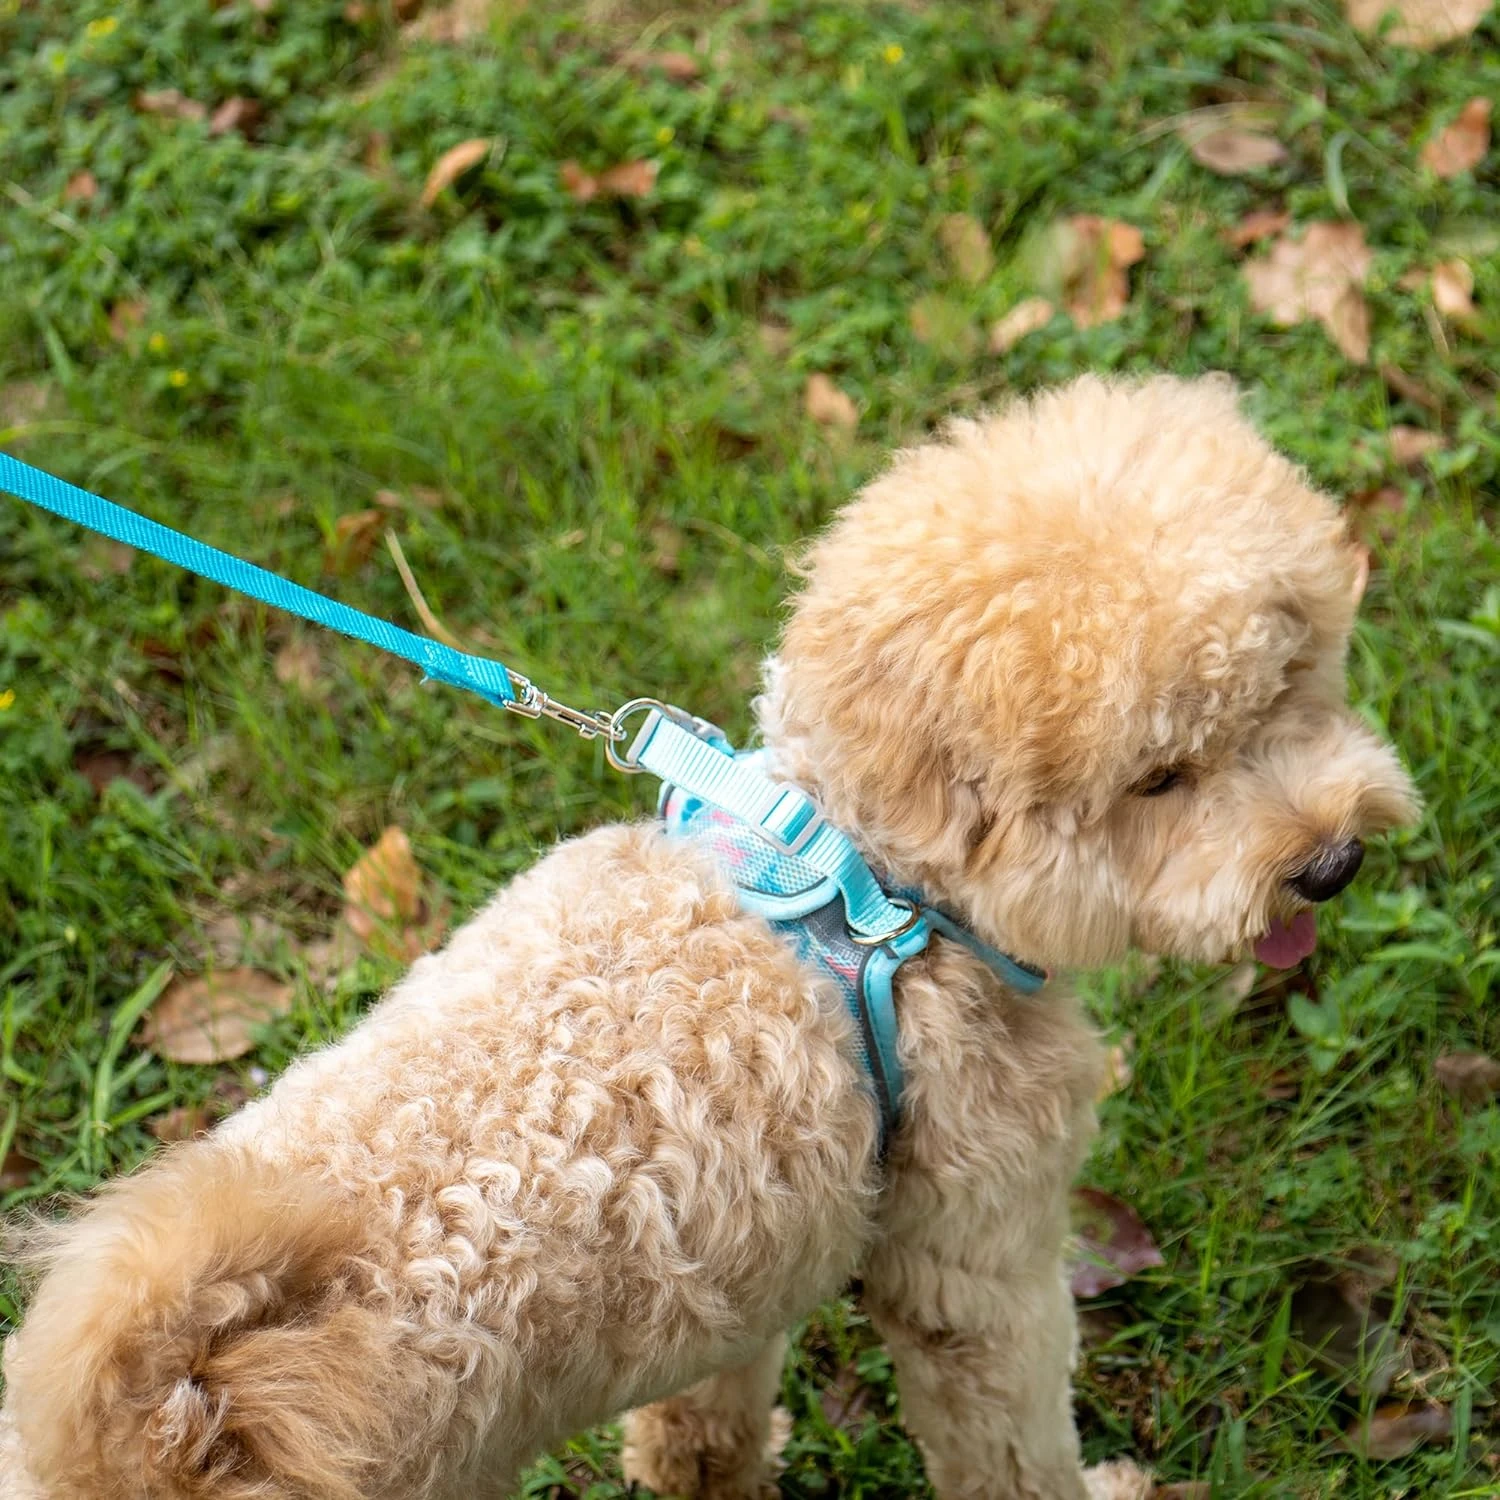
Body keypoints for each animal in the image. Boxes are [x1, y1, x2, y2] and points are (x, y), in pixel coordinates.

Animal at [0, 375, 1410, 1500]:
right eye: (1160, 779)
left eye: (1290, 689)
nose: (1331, 863)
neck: (873, 887)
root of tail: (171, 1416)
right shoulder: (974, 1273)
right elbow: (1013, 1453)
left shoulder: (738, 1264)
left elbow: (706, 1420)